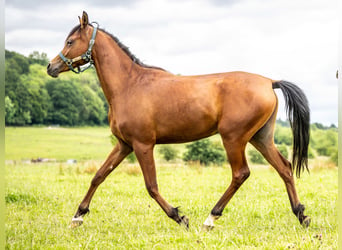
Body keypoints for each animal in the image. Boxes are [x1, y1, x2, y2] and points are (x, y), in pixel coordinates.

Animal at [46, 11, 312, 230]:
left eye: (70, 42)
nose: (51, 67)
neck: (129, 85)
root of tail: (269, 81)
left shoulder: (143, 145)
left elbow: (151, 186)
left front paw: (179, 216)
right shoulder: (124, 145)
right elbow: (98, 176)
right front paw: (77, 216)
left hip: (233, 139)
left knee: (241, 173)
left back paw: (210, 218)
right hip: (260, 138)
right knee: (285, 168)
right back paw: (301, 215)